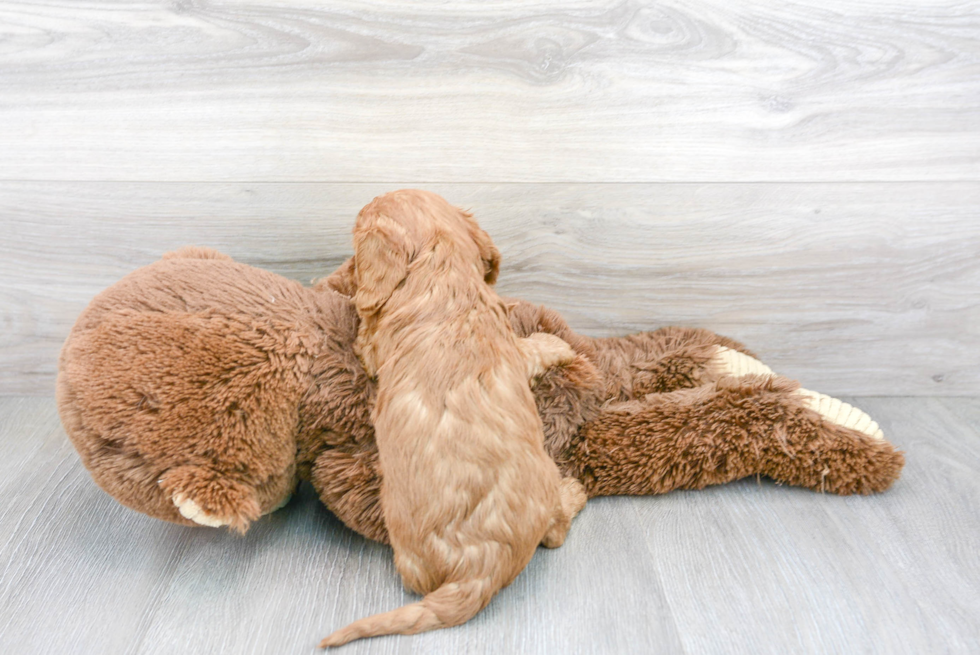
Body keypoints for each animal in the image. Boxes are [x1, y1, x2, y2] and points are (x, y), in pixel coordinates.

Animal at [322, 190, 584, 644]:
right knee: (555, 532)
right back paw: (576, 491)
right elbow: (533, 347)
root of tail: (477, 571)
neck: (442, 274)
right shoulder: (510, 351)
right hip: (545, 478)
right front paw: (558, 344)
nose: (345, 273)